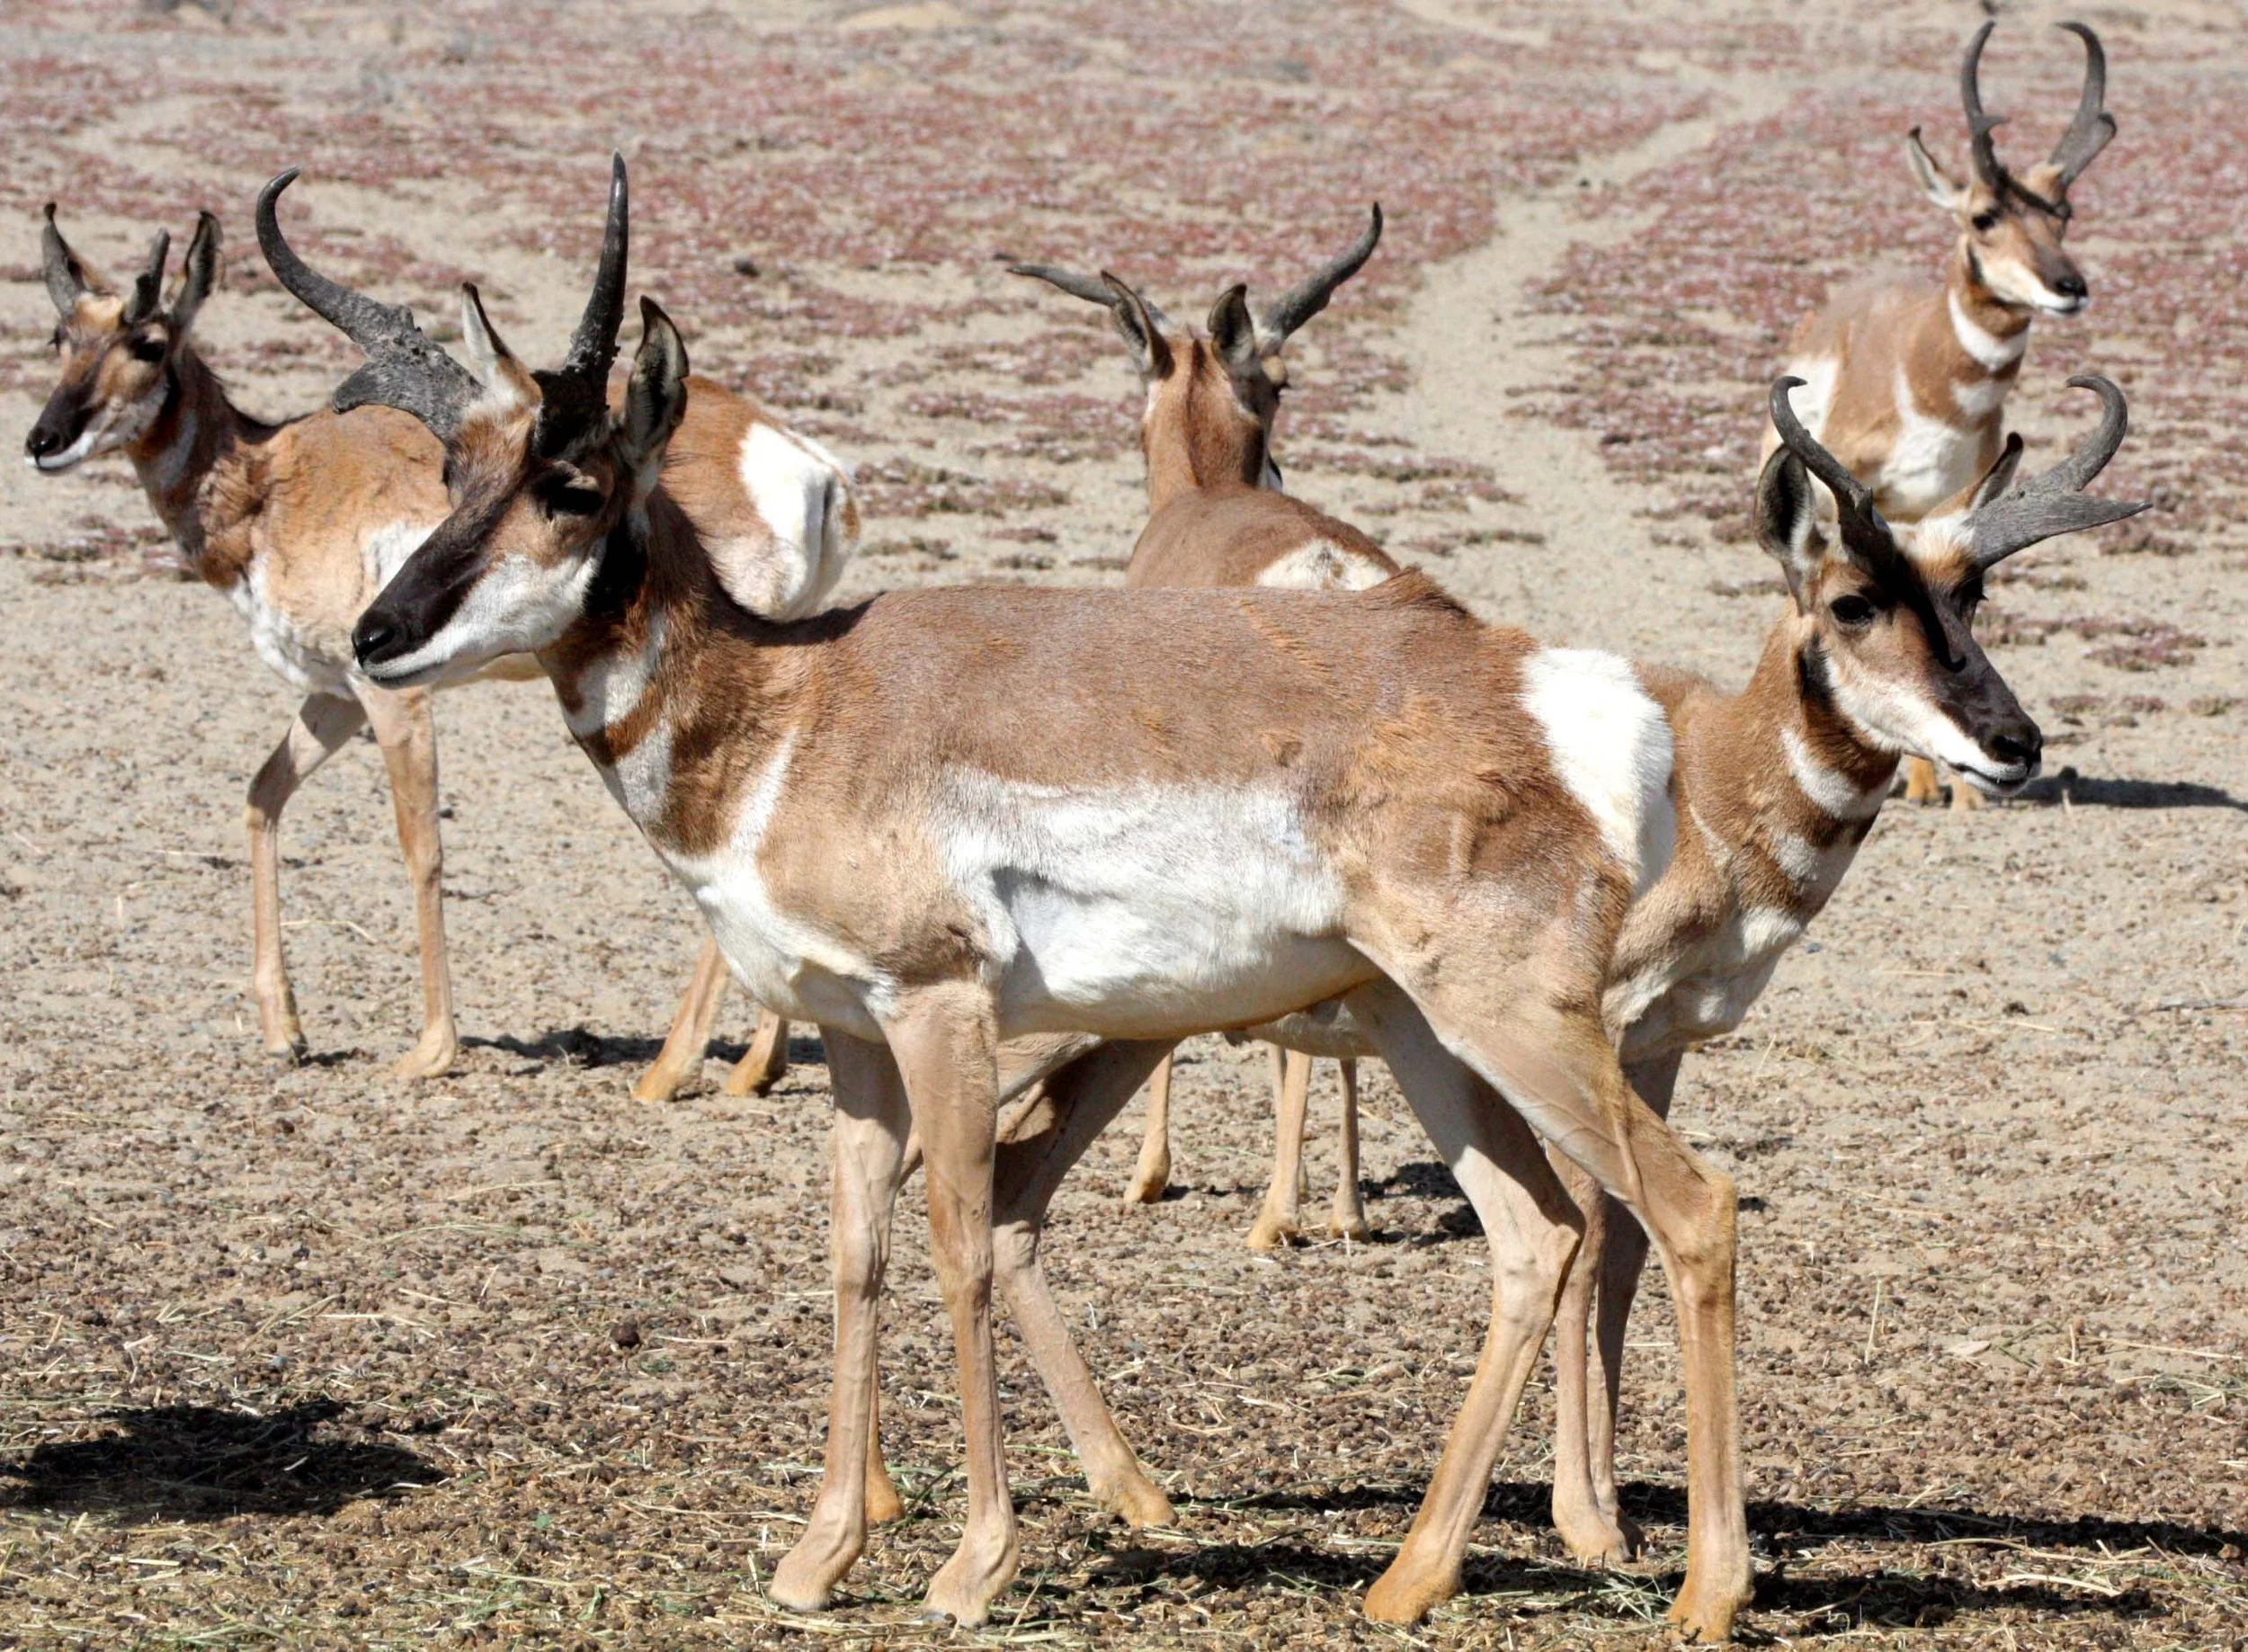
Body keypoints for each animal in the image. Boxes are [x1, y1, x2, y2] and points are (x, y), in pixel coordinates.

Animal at [25, 203, 854, 1081]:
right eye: (58, 336)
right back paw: (753, 1068)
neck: (271, 475)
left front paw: (431, 1049)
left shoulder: (392, 696)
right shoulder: (333, 694)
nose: (44, 439)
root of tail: (814, 467)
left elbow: (420, 847)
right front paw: (286, 1030)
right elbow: (260, 796)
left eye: (148, 343)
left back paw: (683, 1064)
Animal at [975, 373, 2143, 1582]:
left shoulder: (1659, 1048)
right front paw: (1589, 1516)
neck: (1706, 775)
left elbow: (1620, 1251)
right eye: (1854, 601)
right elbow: (1585, 1250)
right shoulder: (1594, 1030)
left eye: (1972, 591)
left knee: (1010, 1202)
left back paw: (1133, 1488)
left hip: (1126, 1034)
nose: (2012, 741)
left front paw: (1617, 1502)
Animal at [1014, 209, 1391, 1249]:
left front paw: (1147, 1172)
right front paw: (1342, 1200)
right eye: (1280, 379)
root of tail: (1325, 577)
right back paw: (1335, 1206)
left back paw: (1274, 1216)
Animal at [1770, 18, 2114, 809]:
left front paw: (1961, 789)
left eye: (2064, 214)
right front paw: (1926, 782)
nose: (2069, 285)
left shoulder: (1952, 508)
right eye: (1984, 216)